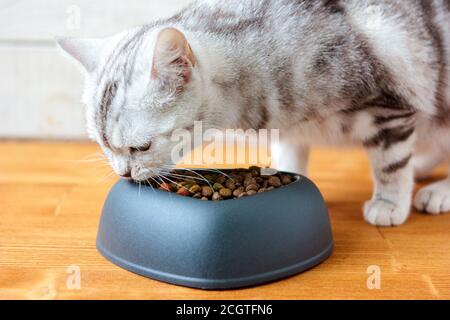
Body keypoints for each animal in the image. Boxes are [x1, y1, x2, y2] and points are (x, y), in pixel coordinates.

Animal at [57, 0, 450, 228]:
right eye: (104, 147)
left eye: (141, 147)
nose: (123, 173)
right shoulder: (291, 128)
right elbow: (291, 157)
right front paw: (286, 175)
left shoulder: (388, 104)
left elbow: (390, 164)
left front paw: (388, 203)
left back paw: (436, 191)